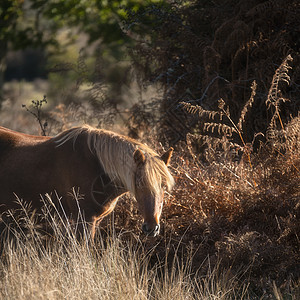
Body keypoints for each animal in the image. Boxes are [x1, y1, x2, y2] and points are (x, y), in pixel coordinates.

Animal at [0, 125, 173, 238]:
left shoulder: (94, 221)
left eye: (164, 186)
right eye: (139, 184)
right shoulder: (84, 220)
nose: (152, 228)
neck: (97, 166)